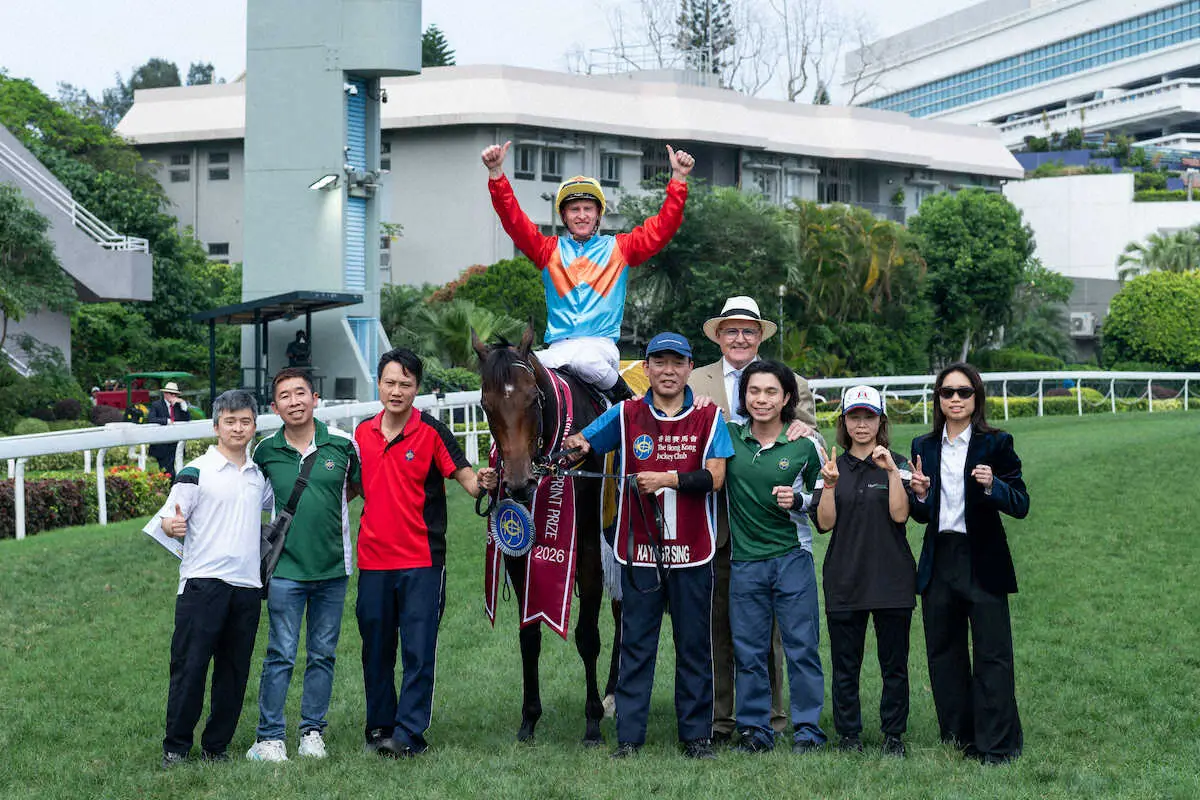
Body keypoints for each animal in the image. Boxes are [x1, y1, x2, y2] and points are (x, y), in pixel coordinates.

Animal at [472, 325, 608, 746]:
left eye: (533, 398)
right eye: (485, 404)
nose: (518, 484)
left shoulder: (588, 549)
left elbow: (587, 635)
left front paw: (593, 721)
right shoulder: (517, 549)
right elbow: (529, 636)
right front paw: (529, 718)